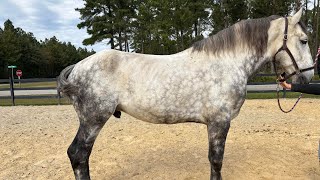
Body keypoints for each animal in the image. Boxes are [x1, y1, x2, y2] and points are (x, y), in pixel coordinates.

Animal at [58, 9, 314, 179]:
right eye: (303, 40)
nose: (308, 77)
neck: (227, 63)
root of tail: (78, 67)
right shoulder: (219, 123)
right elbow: (216, 161)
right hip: (93, 119)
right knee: (78, 154)